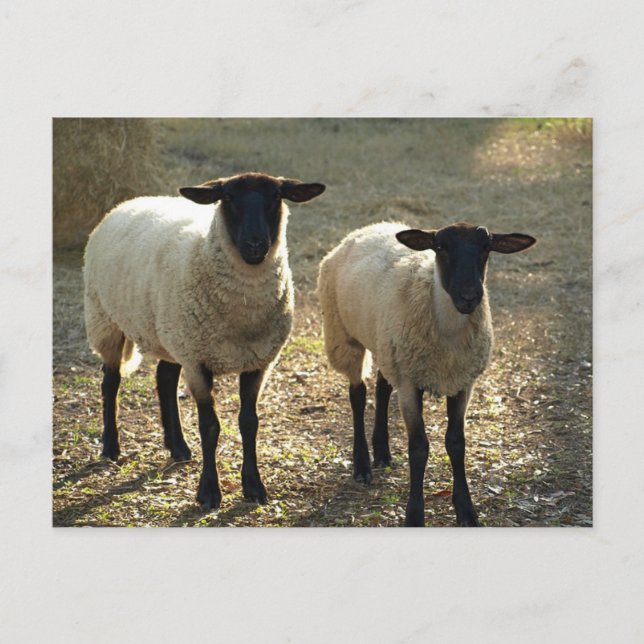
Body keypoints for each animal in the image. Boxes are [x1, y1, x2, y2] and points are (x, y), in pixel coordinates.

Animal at [84, 172, 326, 509]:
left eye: (276, 197)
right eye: (228, 198)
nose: (255, 243)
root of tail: (128, 202)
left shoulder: (258, 361)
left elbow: (249, 422)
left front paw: (254, 486)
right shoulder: (198, 362)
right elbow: (210, 427)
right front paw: (209, 491)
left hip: (171, 334)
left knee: (164, 378)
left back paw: (178, 447)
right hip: (105, 319)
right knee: (110, 382)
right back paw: (110, 447)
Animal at [317, 221, 536, 526]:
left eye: (486, 247)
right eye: (440, 246)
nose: (470, 297)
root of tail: (370, 227)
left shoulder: (462, 382)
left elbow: (456, 443)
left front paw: (466, 510)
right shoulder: (410, 384)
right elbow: (418, 447)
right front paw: (414, 515)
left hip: (388, 347)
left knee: (382, 388)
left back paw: (382, 452)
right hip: (344, 336)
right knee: (358, 394)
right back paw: (362, 465)